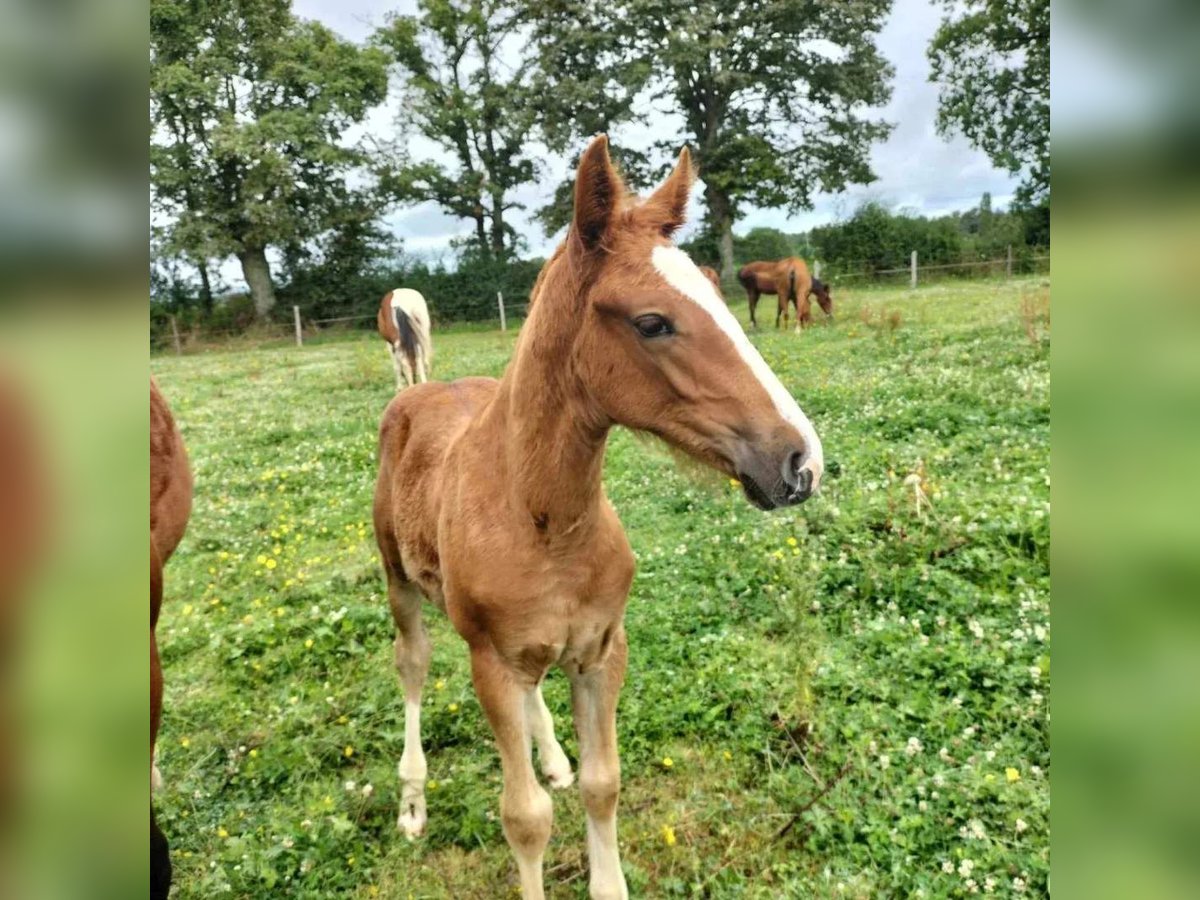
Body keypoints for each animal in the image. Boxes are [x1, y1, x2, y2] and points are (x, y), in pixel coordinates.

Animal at [372, 135, 825, 900]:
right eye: (652, 322)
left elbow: (601, 784)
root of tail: (420, 392)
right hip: (399, 582)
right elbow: (524, 818)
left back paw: (551, 755)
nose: (801, 460)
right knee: (412, 667)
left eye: (721, 295)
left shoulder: (603, 650)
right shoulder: (491, 663)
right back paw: (412, 801)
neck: (546, 523)